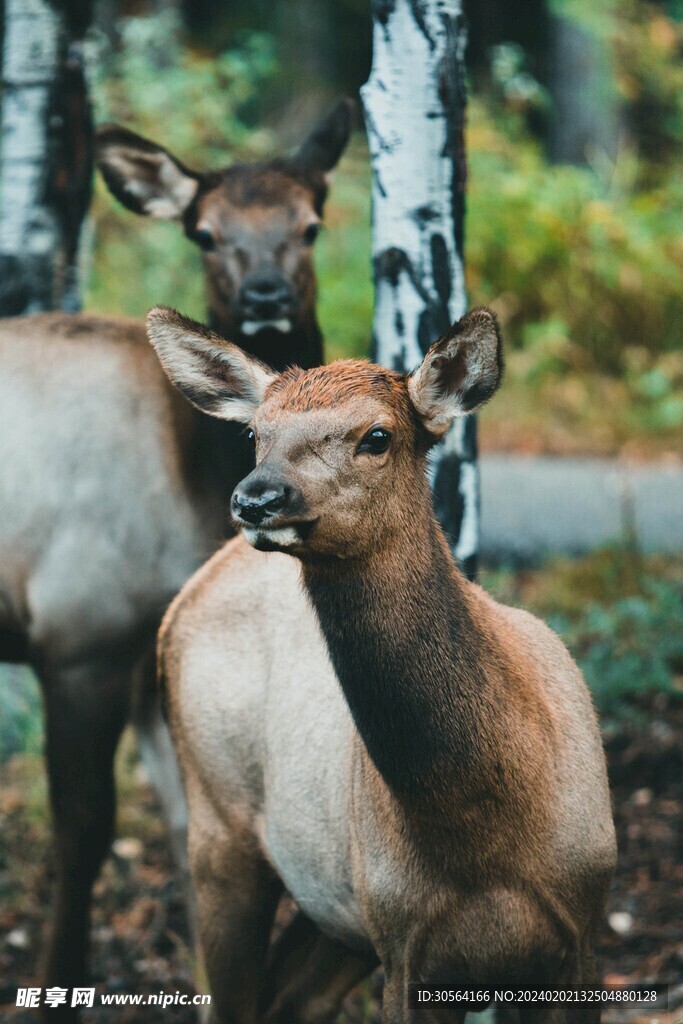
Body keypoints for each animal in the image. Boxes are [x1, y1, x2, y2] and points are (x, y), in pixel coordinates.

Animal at [0, 99, 351, 1017]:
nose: (264, 297)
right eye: (203, 232)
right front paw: (58, 972)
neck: (189, 485)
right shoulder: (80, 634)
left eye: (310, 222)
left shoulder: (151, 640)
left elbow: (187, 822)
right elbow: (85, 828)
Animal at [147, 304, 617, 1024]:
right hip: (221, 828)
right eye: (256, 431)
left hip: (336, 915)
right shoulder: (403, 942)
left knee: (291, 997)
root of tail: (183, 601)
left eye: (376, 435)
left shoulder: (581, 928)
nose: (257, 497)